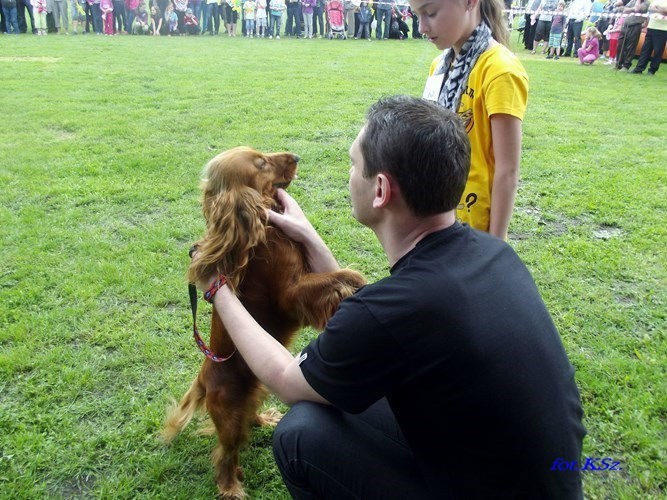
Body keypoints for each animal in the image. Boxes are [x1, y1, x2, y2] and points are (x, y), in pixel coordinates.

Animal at [164, 146, 368, 498]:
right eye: (260, 163)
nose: (296, 156)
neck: (266, 226)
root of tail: (204, 378)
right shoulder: (291, 292)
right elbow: (340, 277)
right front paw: (354, 286)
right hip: (230, 416)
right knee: (225, 453)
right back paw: (231, 487)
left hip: (257, 390)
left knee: (249, 417)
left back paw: (264, 420)